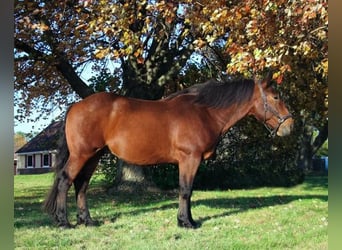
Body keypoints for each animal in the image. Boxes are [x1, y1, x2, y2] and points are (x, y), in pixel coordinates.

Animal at [42, 76, 294, 229]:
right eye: (275, 97)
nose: (290, 126)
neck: (205, 112)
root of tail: (77, 105)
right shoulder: (189, 159)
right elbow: (185, 190)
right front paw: (186, 223)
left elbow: (187, 191)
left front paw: (188, 220)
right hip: (81, 155)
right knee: (65, 181)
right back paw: (64, 222)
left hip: (94, 155)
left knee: (81, 185)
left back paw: (88, 220)